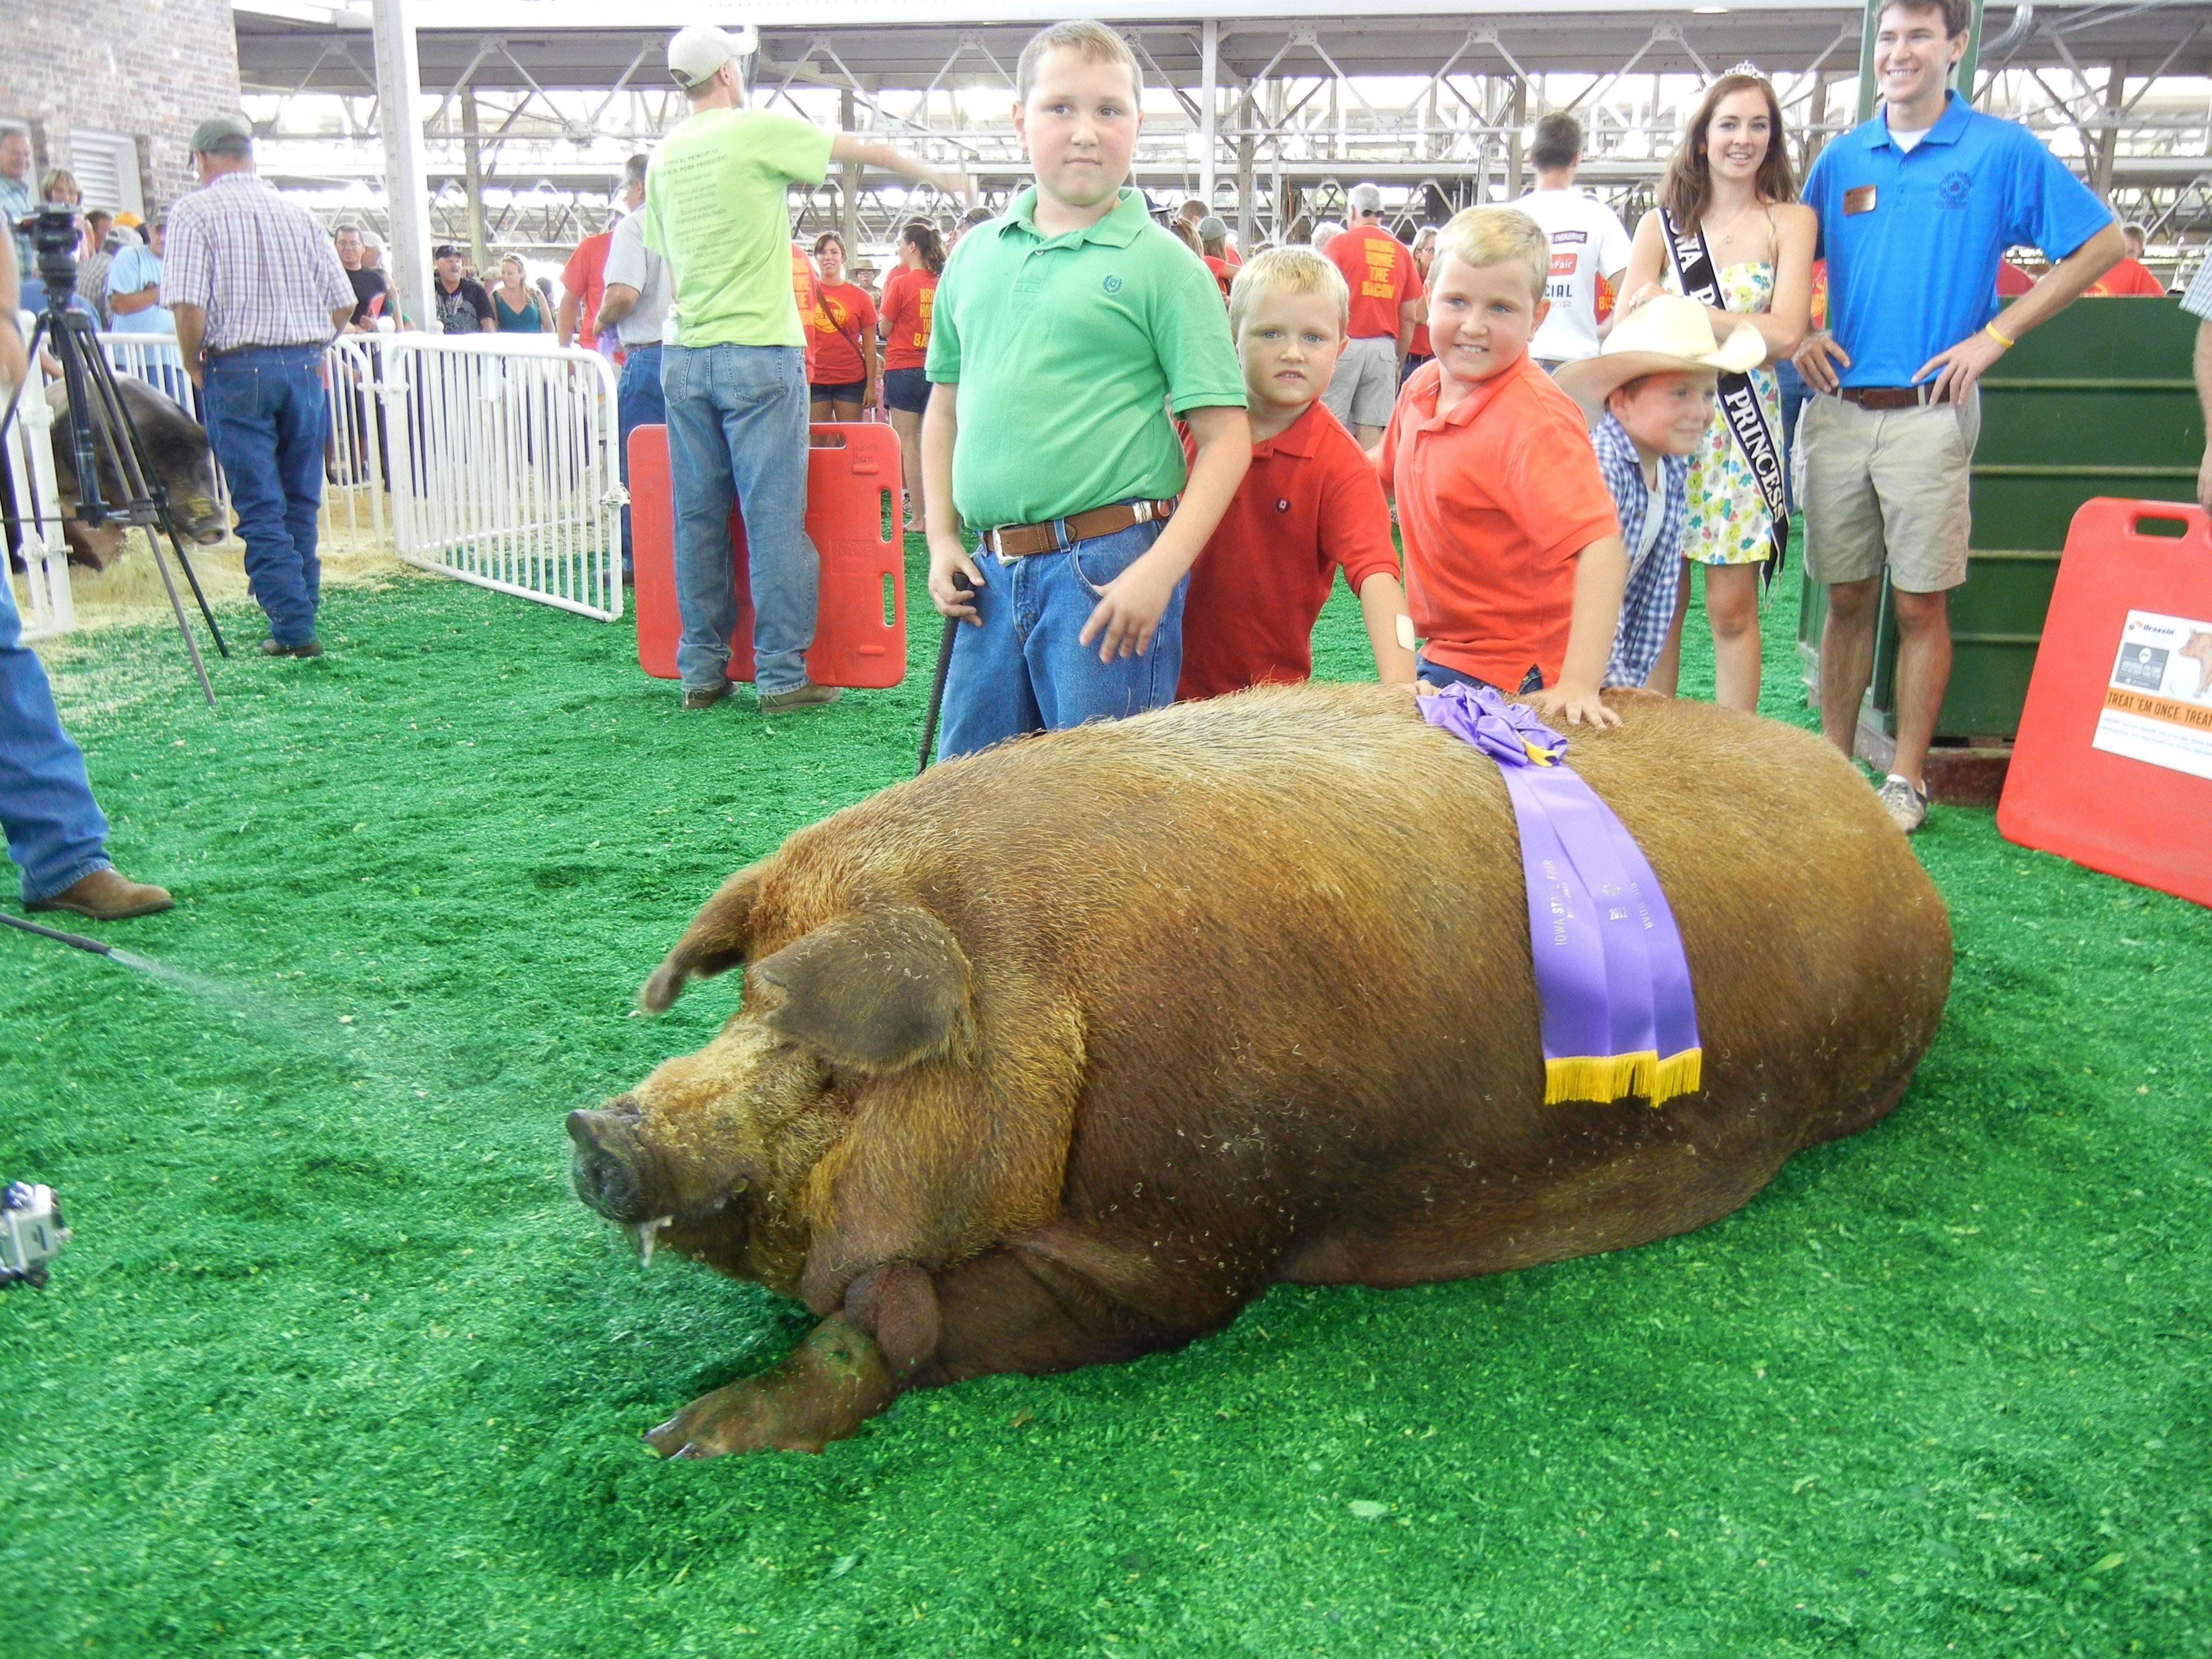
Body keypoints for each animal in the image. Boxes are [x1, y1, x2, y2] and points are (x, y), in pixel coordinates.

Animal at [571, 681, 1955, 1460]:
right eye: (741, 1005)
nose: (596, 1132)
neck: (1050, 1024)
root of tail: (1911, 874)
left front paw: (680, 1441)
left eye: (832, 1073)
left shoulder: (1189, 1243)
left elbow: (897, 1328)